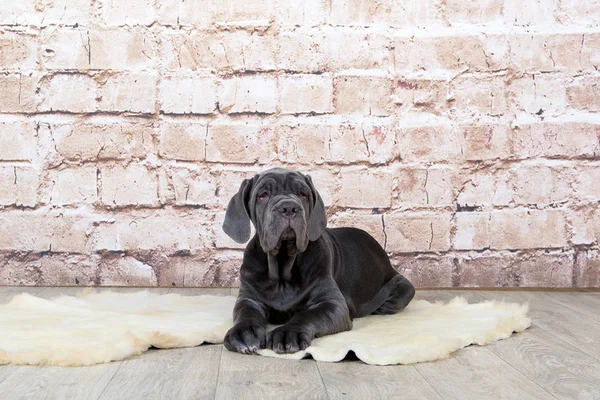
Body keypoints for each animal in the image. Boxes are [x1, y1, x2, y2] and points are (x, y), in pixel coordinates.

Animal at [223, 167, 414, 354]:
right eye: (262, 195)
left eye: (303, 194)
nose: (288, 207)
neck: (282, 265)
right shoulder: (249, 298)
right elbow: (245, 313)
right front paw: (244, 332)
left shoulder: (332, 304)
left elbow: (307, 315)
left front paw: (288, 333)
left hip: (402, 288)